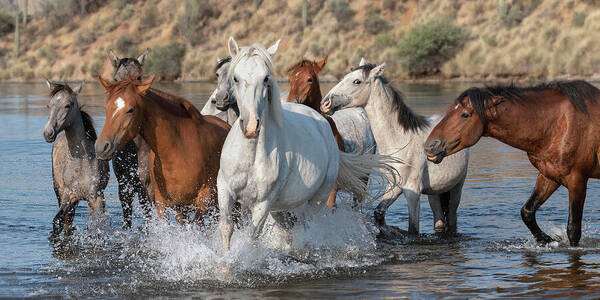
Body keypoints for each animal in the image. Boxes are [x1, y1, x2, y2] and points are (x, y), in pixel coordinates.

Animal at [95, 77, 231, 223]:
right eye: (106, 108)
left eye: (130, 110)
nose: (101, 147)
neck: (179, 152)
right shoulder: (166, 204)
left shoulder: (205, 199)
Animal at [218, 38, 400, 253]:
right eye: (236, 78)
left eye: (265, 78)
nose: (251, 126)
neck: (250, 156)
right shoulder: (225, 190)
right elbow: (226, 227)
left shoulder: (263, 203)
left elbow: (251, 239)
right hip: (282, 207)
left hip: (316, 199)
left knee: (308, 226)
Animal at [322, 59, 472, 236]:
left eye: (356, 81)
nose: (325, 103)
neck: (401, 141)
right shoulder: (394, 185)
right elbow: (378, 212)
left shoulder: (412, 192)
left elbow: (413, 229)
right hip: (435, 192)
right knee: (439, 220)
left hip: (457, 187)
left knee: (452, 217)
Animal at [424, 80, 600, 246]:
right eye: (448, 111)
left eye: (465, 114)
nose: (430, 146)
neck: (555, 125)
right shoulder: (549, 176)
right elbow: (527, 212)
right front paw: (546, 239)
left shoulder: (577, 180)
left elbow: (573, 230)